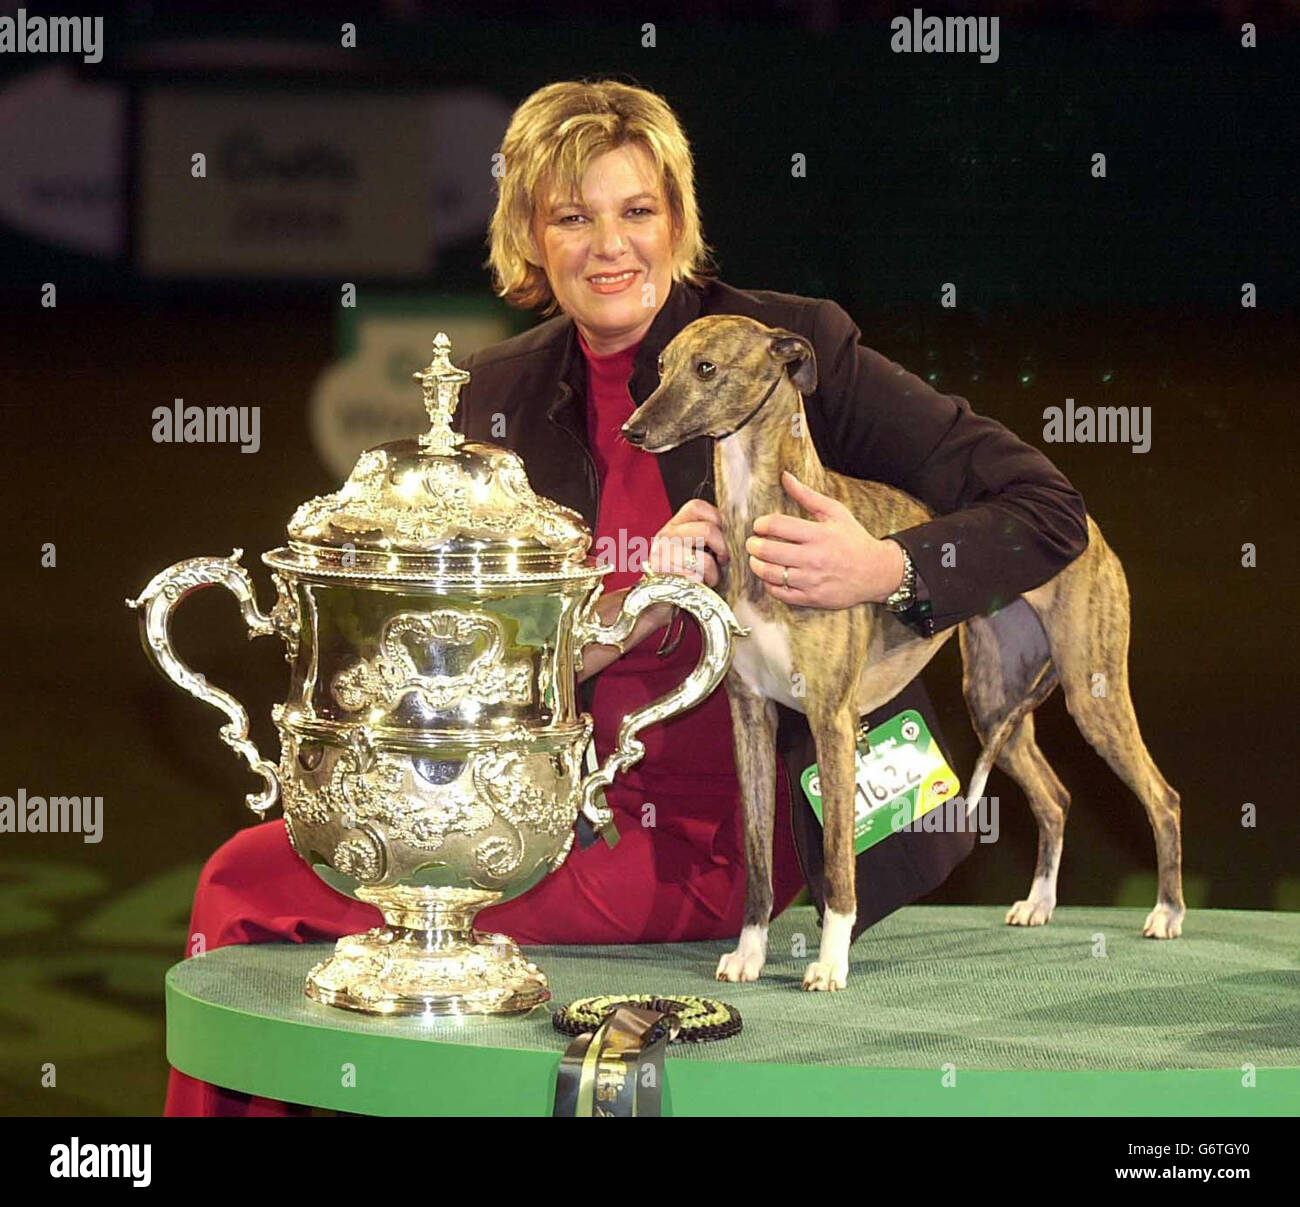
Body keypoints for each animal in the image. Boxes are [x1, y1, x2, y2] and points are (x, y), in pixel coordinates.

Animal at [624, 310, 1185, 988]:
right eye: (661, 367)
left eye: (706, 368)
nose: (633, 430)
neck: (763, 513)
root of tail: (1089, 527)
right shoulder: (750, 715)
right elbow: (757, 861)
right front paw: (750, 953)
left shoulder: (832, 720)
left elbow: (840, 859)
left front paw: (830, 962)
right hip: (994, 702)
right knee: (1055, 797)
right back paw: (1039, 903)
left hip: (1092, 693)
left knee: (1163, 797)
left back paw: (1167, 913)